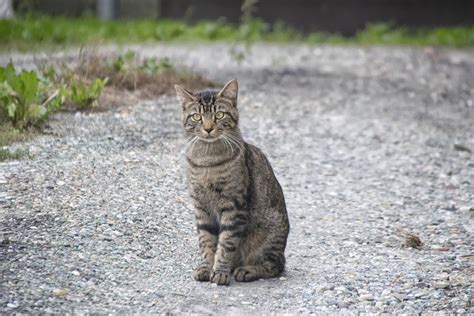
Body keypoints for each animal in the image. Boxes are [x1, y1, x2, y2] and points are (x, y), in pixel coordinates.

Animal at [175, 79, 288, 286]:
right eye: (197, 117)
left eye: (219, 115)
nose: (208, 128)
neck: (207, 161)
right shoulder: (201, 208)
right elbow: (206, 242)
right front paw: (206, 268)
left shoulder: (234, 206)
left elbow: (226, 243)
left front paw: (219, 272)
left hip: (269, 236)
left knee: (274, 265)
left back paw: (247, 270)